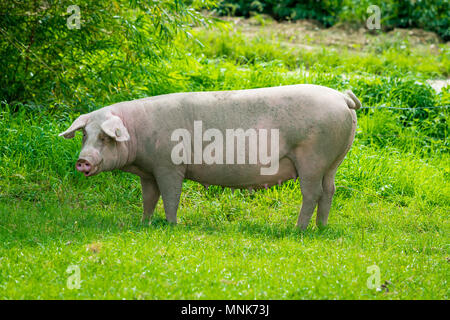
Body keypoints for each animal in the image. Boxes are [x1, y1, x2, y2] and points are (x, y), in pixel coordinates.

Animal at [60, 84, 362, 230]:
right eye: (85, 135)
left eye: (105, 138)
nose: (82, 160)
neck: (138, 135)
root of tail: (342, 98)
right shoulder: (149, 173)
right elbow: (149, 198)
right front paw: (144, 224)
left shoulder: (169, 165)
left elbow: (170, 196)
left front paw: (171, 225)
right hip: (333, 161)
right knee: (329, 191)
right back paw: (320, 228)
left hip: (313, 157)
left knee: (312, 193)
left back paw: (297, 229)